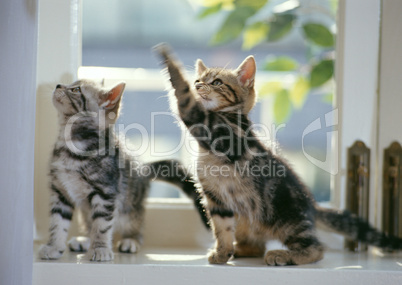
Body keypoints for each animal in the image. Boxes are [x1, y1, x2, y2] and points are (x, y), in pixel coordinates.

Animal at [38, 79, 207, 260]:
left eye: (76, 90)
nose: (58, 86)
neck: (71, 146)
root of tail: (142, 169)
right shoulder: (60, 191)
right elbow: (58, 221)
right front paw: (54, 246)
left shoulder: (106, 192)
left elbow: (102, 224)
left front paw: (100, 248)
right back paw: (85, 240)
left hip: (130, 207)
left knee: (136, 226)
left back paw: (131, 240)